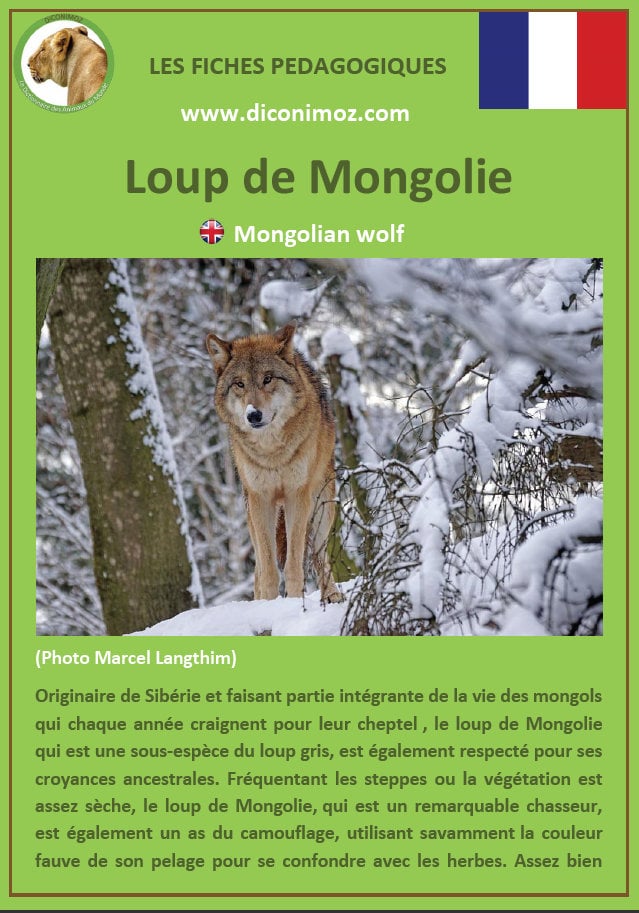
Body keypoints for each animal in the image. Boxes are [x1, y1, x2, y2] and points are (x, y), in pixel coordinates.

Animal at [206, 323, 343, 604]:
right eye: (239, 384)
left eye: (268, 379)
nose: (253, 415)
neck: (272, 452)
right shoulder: (261, 499)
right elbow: (268, 568)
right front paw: (267, 604)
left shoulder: (297, 496)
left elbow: (293, 562)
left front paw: (294, 601)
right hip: (251, 515)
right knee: (258, 567)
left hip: (323, 508)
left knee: (318, 554)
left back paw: (332, 595)